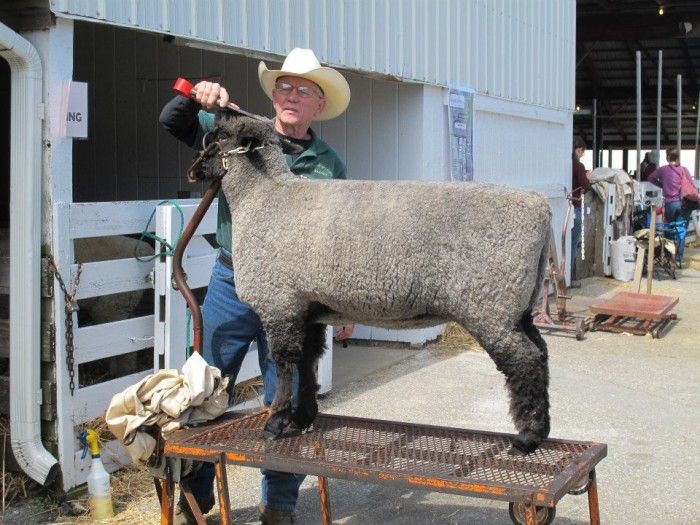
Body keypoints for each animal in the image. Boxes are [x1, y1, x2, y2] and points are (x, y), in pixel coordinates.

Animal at [186, 111, 552, 454]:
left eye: (219, 134)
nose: (193, 171)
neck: (263, 197)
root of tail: (541, 209)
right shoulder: (309, 308)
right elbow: (308, 362)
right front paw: (303, 416)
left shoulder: (279, 302)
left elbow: (285, 364)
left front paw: (276, 422)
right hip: (518, 306)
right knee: (541, 352)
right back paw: (542, 428)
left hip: (489, 304)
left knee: (524, 361)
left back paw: (527, 438)